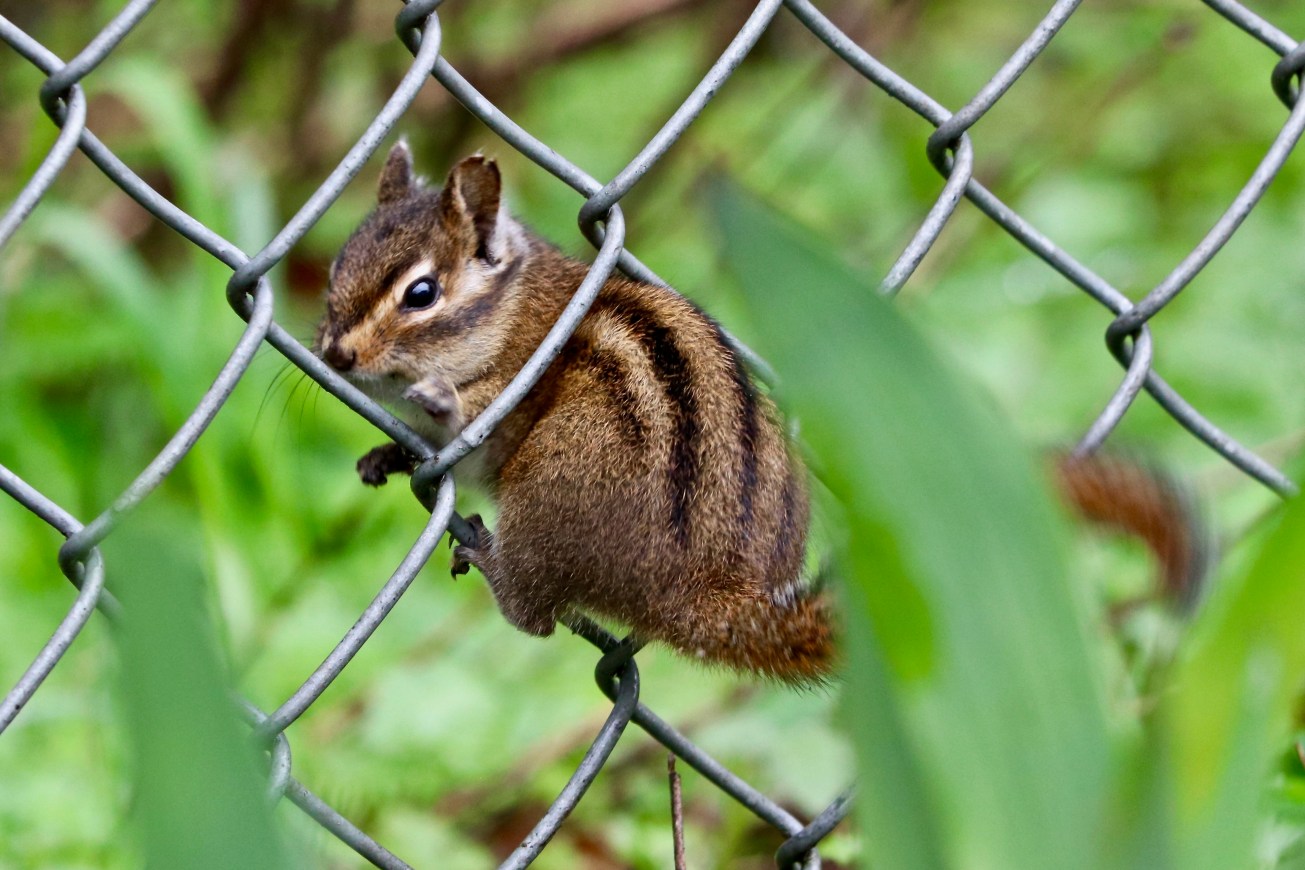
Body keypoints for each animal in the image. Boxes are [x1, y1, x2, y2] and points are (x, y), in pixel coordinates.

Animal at [315, 143, 1209, 682]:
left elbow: (468, 434)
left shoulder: (512, 396)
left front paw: (430, 408)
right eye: (334, 271)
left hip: (550, 482)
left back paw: (489, 557)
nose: (331, 353)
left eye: (421, 294)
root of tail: (719, 593)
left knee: (533, 612)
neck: (510, 314)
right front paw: (388, 454)